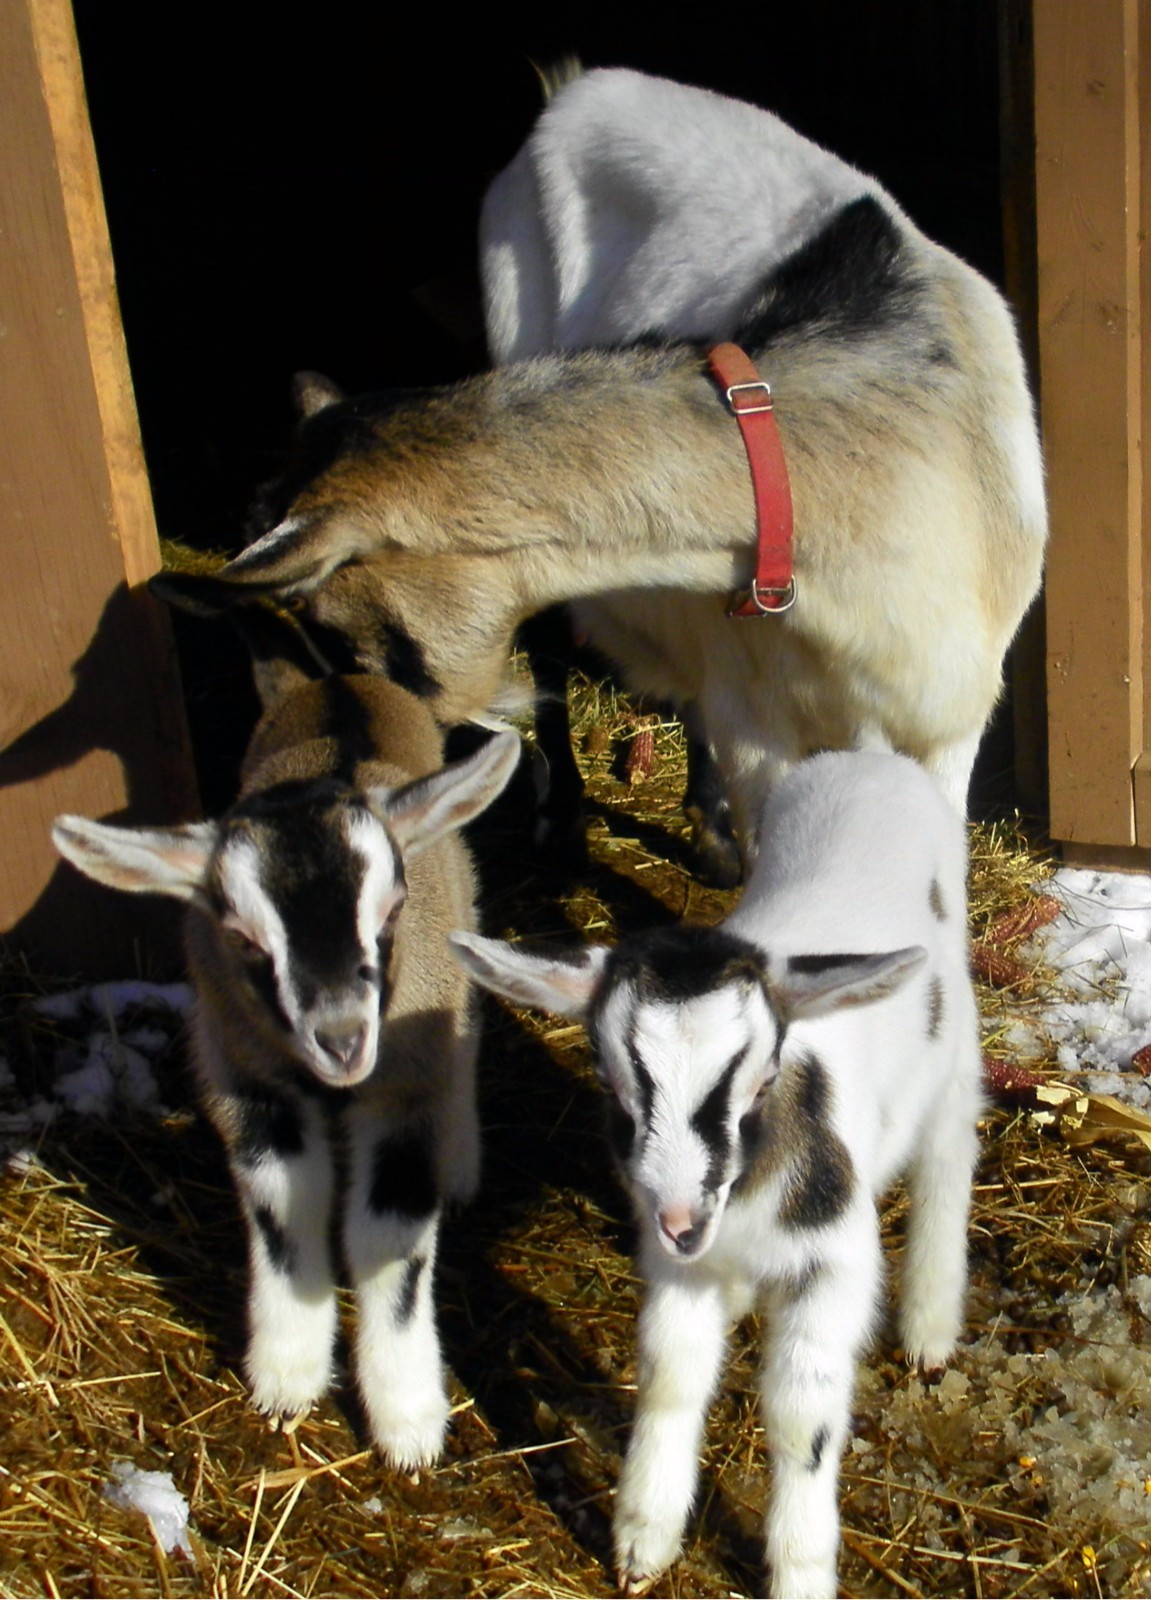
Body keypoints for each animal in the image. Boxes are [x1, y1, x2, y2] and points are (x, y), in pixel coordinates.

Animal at [52, 626, 519, 1470]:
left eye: (392, 910)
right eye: (241, 935)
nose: (342, 1040)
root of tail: (338, 683)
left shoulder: (402, 1082)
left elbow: (391, 1232)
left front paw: (407, 1419)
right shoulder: (246, 1069)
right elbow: (284, 1204)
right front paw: (287, 1374)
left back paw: (462, 1160)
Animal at [451, 749, 982, 1598]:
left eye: (760, 1083)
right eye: (612, 1085)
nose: (678, 1218)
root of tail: (869, 757)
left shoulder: (831, 1266)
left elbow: (802, 1419)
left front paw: (799, 1572)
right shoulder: (681, 1268)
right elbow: (671, 1375)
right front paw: (643, 1537)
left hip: (954, 1043)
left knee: (947, 1156)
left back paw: (930, 1327)